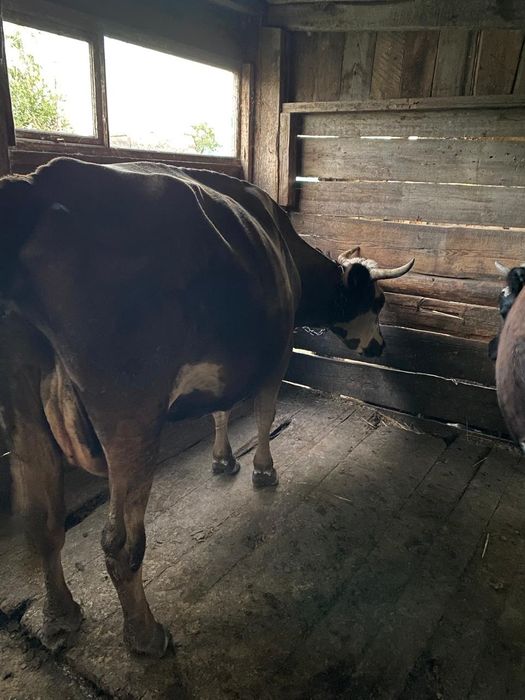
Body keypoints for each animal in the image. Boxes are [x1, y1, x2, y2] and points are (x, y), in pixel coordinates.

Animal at [0, 157, 414, 657]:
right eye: (378, 301)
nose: (381, 346)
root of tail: (39, 182)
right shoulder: (276, 353)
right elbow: (263, 414)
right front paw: (263, 470)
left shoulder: (225, 362)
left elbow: (220, 411)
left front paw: (222, 460)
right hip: (131, 409)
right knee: (120, 542)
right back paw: (145, 635)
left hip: (19, 398)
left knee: (41, 519)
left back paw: (60, 615)